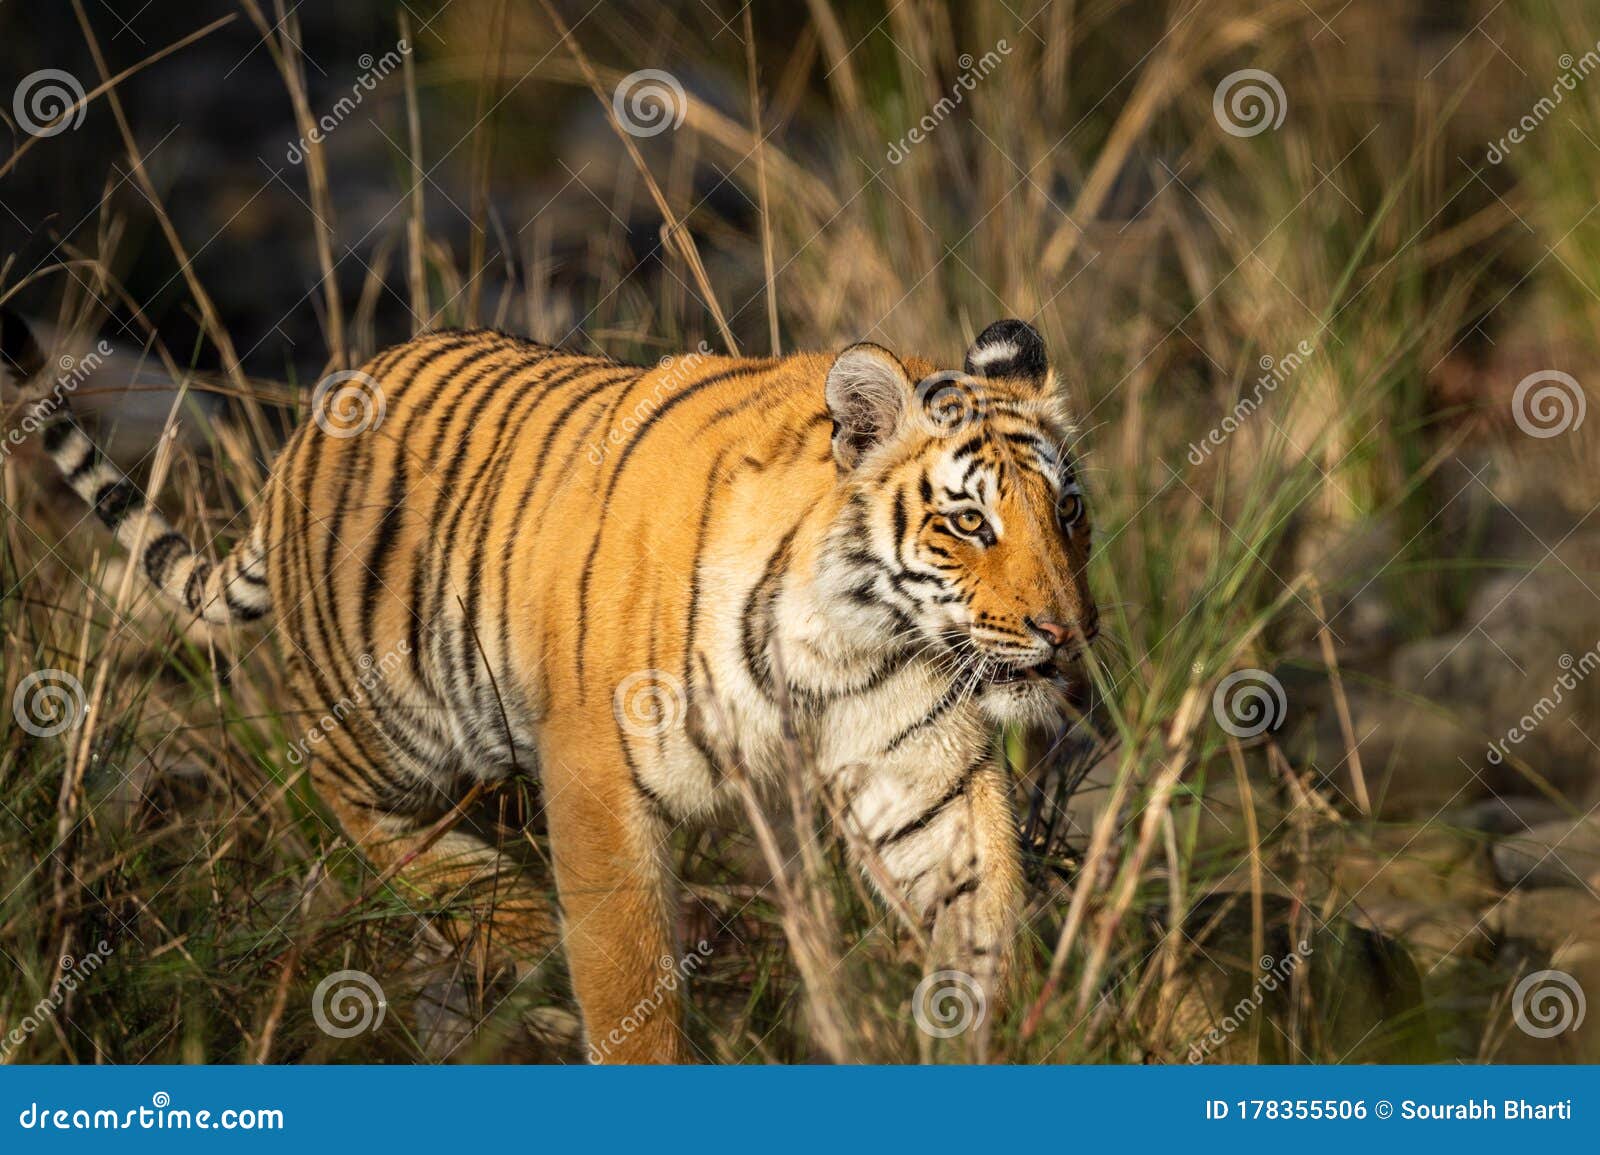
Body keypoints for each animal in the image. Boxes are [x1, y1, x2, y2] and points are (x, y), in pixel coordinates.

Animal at [0, 308, 1094, 1062]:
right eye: (969, 523)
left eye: (1069, 513)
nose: (1065, 633)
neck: (854, 643)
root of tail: (303, 433)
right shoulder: (599, 776)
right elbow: (629, 980)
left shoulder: (922, 771)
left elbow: (980, 907)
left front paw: (982, 1032)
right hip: (392, 718)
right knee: (347, 799)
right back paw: (510, 914)